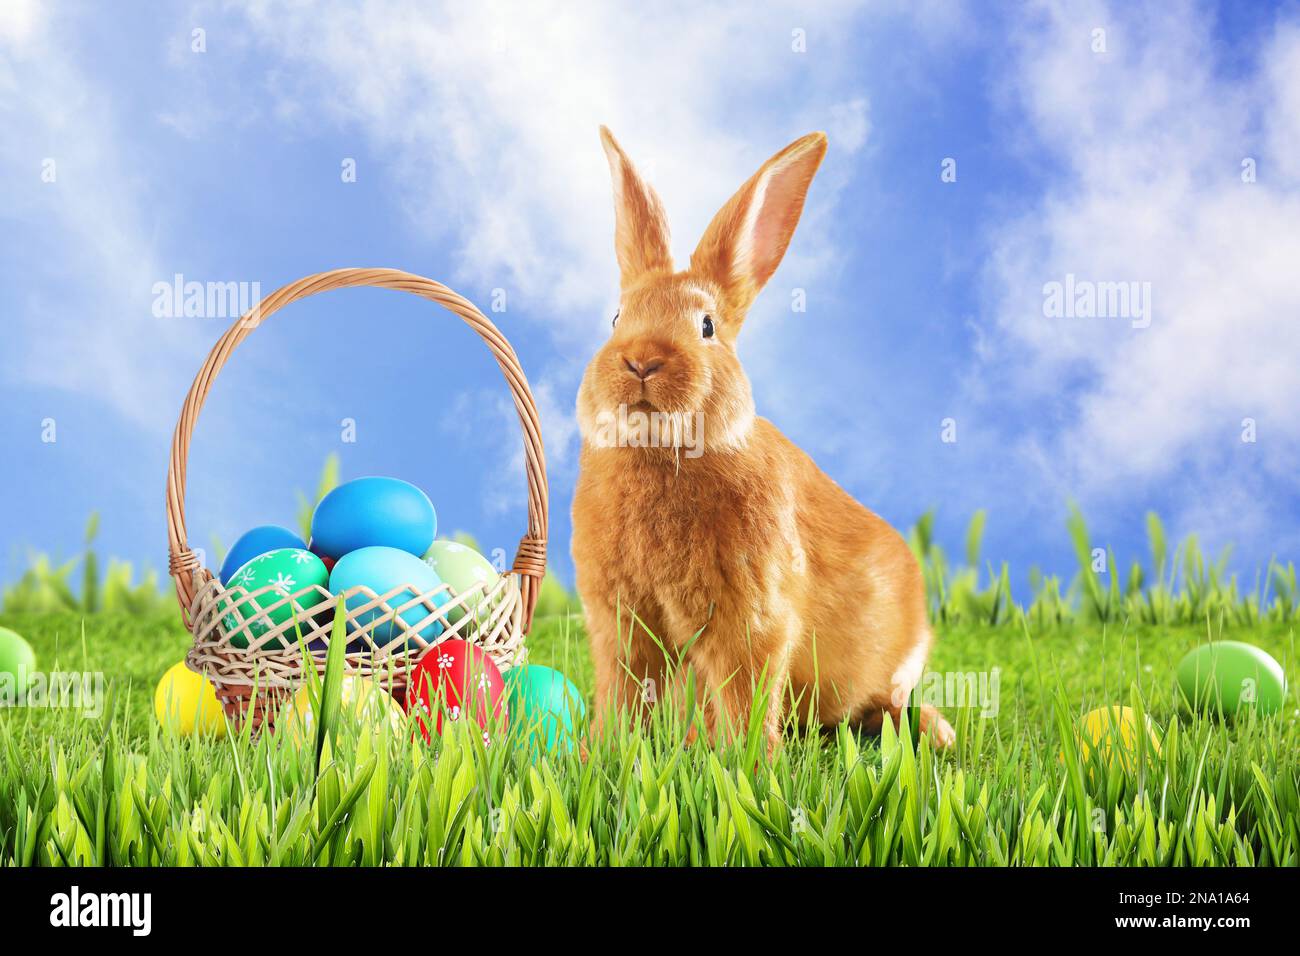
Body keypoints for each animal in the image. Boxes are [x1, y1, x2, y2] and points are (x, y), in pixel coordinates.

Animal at [572, 126, 955, 752]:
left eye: (707, 327)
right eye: (616, 318)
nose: (641, 361)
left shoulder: (751, 619)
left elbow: (744, 692)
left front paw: (744, 760)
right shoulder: (623, 624)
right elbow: (626, 691)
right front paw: (601, 750)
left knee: (889, 703)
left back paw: (933, 731)